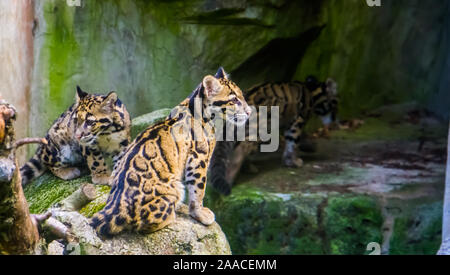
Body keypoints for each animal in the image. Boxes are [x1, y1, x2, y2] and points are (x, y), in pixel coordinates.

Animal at [90, 67, 253, 237]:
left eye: (242, 96)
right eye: (234, 100)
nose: (249, 111)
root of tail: (116, 207)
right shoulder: (198, 159)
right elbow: (198, 189)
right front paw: (201, 214)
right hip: (175, 188)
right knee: (143, 226)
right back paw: (171, 216)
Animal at [209, 76, 340, 195]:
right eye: (335, 104)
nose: (335, 121)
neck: (312, 90)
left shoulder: (289, 121)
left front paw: (310, 146)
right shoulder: (298, 120)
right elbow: (293, 142)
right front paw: (293, 162)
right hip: (257, 131)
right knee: (241, 150)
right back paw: (230, 177)